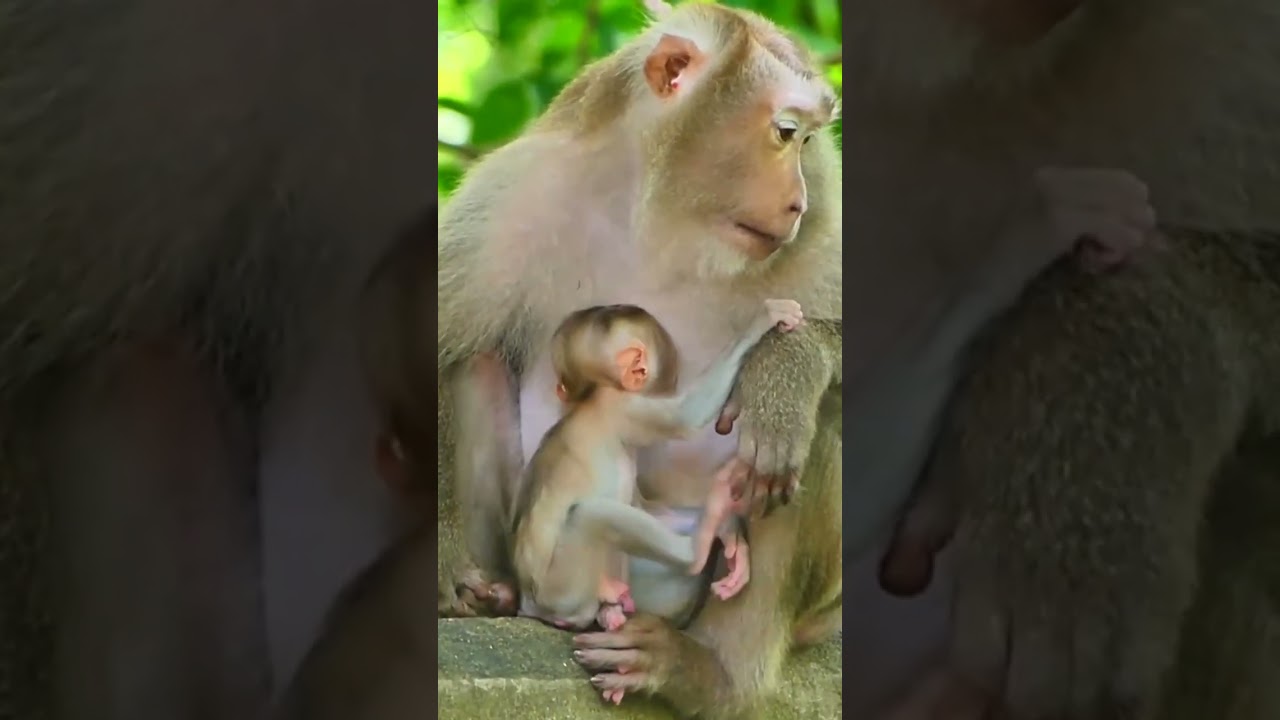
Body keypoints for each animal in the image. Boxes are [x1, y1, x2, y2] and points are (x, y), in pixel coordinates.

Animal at [511, 300, 803, 635]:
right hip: (562, 590)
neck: (594, 393)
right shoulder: (626, 408)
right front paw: (762, 320)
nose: (673, 379)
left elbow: (645, 505)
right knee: (589, 516)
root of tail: (530, 605)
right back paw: (694, 551)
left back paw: (612, 609)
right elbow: (686, 417)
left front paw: (730, 534)